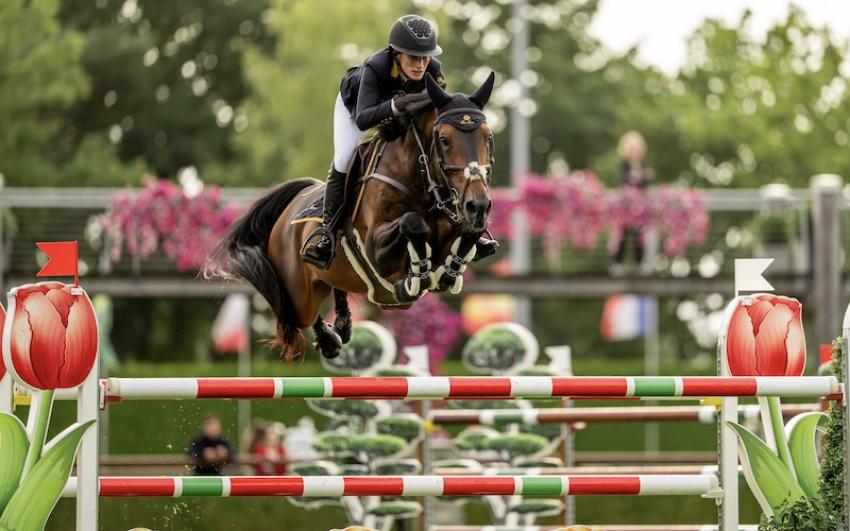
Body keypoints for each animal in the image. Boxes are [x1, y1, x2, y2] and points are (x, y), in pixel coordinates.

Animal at [208, 72, 496, 360]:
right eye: (444, 139)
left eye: (488, 137)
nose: (478, 206)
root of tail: (292, 204)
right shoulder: (376, 250)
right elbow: (412, 224)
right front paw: (416, 277)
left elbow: (467, 234)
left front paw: (451, 270)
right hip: (300, 293)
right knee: (293, 310)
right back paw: (328, 337)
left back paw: (342, 325)